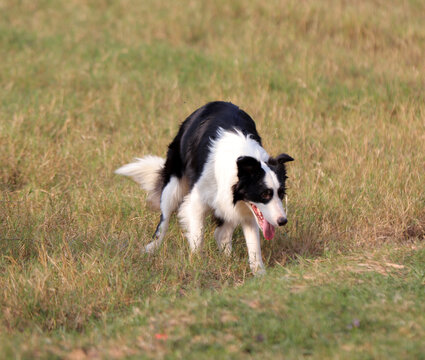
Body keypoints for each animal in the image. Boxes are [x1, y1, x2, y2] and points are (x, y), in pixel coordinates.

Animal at [117, 101, 294, 272]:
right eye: (265, 194)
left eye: (281, 193)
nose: (283, 221)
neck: (240, 161)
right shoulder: (197, 200)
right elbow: (197, 235)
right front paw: (196, 264)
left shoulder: (246, 207)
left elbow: (253, 245)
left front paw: (259, 274)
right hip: (173, 185)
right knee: (164, 219)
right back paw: (152, 248)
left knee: (221, 232)